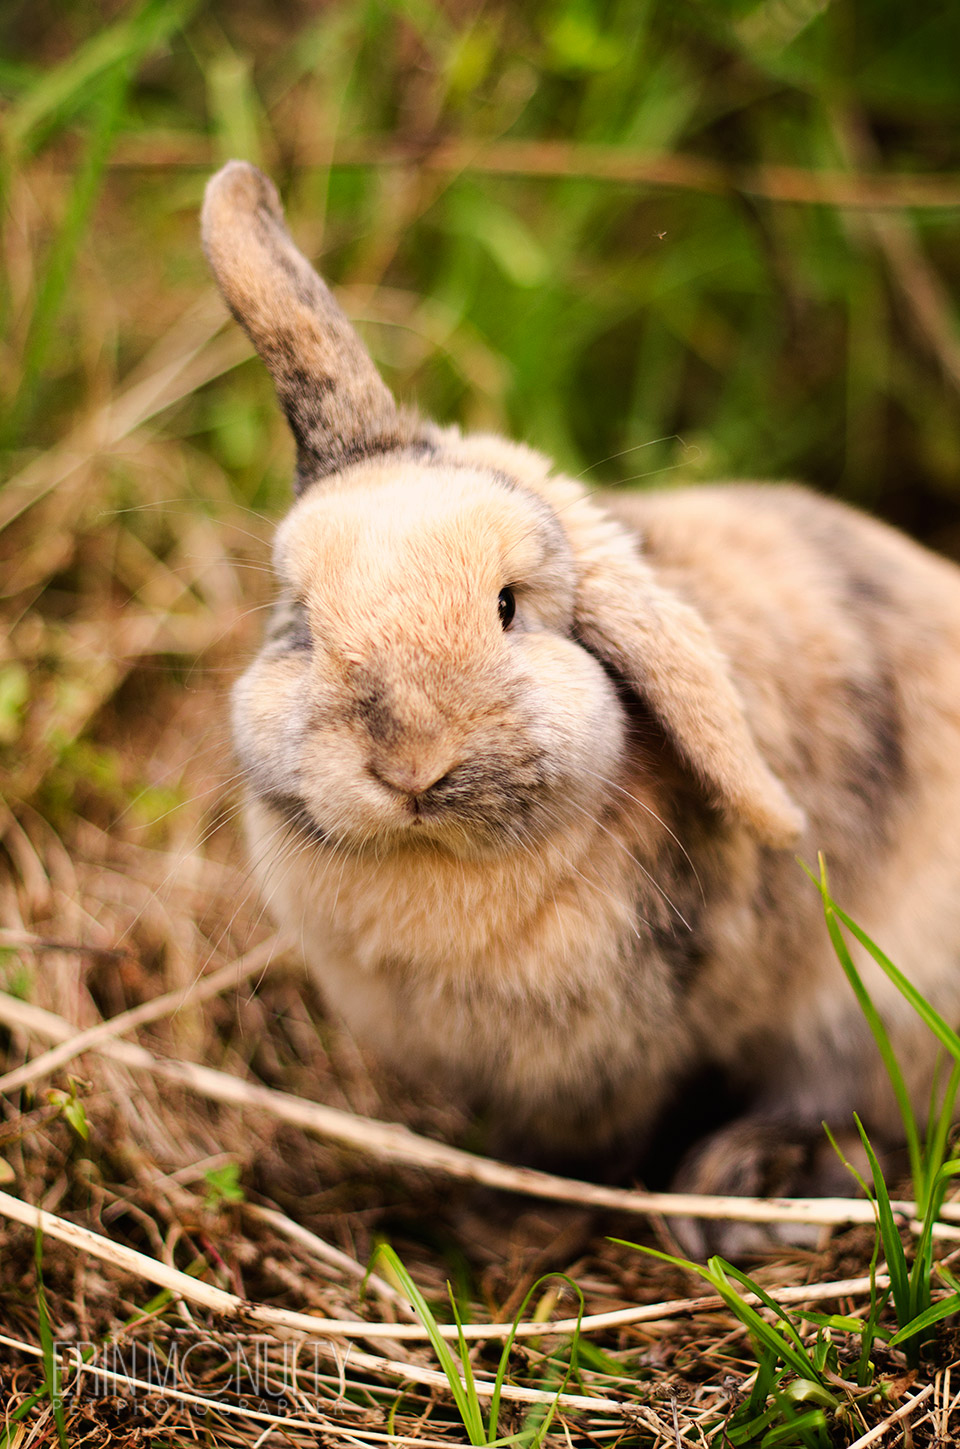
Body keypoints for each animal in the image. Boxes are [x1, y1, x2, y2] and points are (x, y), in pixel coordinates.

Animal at [201, 164, 960, 1240]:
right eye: (301, 623)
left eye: (510, 607)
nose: (411, 763)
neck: (440, 864)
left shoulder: (611, 1068)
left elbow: (584, 1154)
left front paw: (512, 1229)